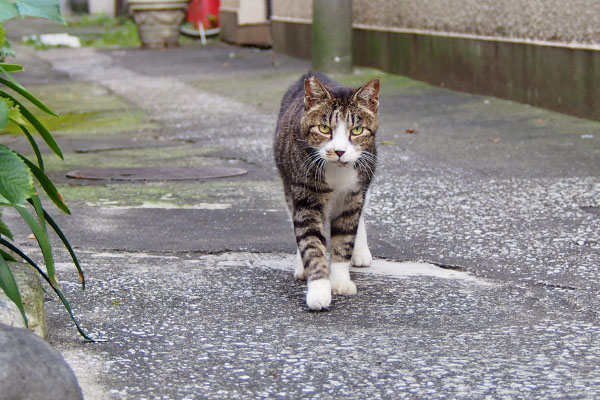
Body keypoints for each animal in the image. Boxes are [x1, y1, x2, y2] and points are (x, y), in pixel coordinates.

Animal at [274, 72, 378, 310]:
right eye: (324, 129)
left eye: (356, 130)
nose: (339, 151)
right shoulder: (305, 196)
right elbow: (312, 243)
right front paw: (319, 289)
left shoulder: (354, 195)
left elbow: (344, 238)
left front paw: (340, 281)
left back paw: (361, 252)